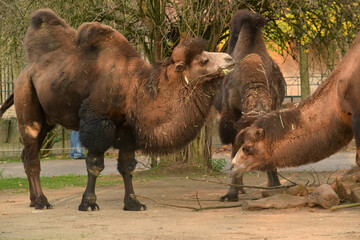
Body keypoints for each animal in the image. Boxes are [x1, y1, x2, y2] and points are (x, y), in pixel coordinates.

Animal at [1, 9, 233, 211]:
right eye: (203, 60)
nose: (229, 59)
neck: (134, 89)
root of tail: (23, 75)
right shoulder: (97, 121)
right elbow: (95, 164)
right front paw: (88, 203)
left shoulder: (128, 128)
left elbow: (127, 166)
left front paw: (133, 203)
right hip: (28, 109)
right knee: (33, 156)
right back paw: (42, 201)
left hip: (46, 122)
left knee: (26, 154)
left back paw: (33, 200)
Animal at [218, 9, 286, 201]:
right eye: (246, 144)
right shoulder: (231, 117)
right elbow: (233, 150)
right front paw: (230, 194)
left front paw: (275, 185)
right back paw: (240, 189)